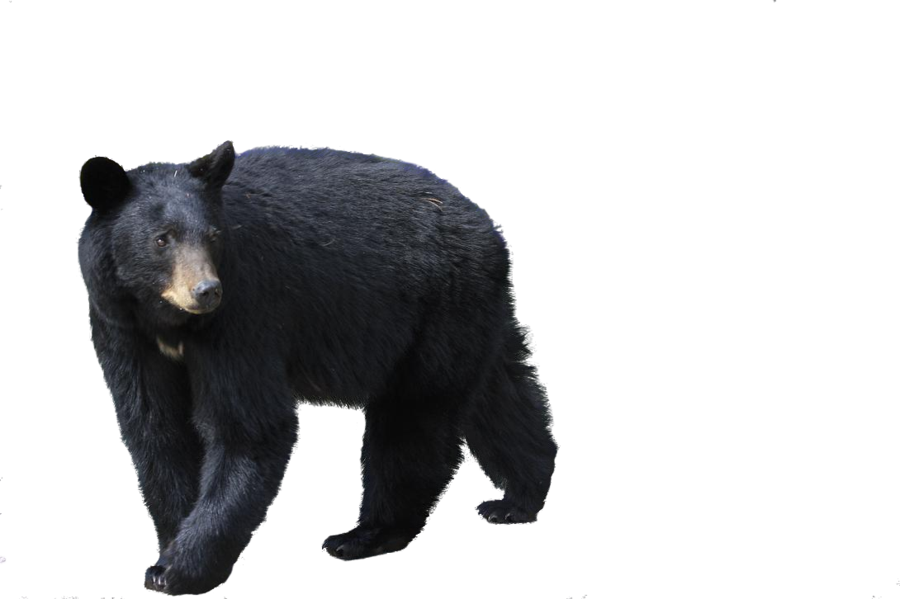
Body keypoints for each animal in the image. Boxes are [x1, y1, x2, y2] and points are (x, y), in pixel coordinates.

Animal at [76, 140, 559, 596]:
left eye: (212, 236)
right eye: (162, 239)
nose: (206, 291)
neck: (169, 321)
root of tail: (487, 225)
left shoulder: (244, 311)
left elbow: (248, 428)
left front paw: (178, 569)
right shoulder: (122, 328)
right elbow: (156, 426)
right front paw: (171, 542)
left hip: (438, 308)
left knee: (412, 419)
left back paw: (364, 535)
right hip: (471, 314)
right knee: (500, 396)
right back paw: (517, 500)